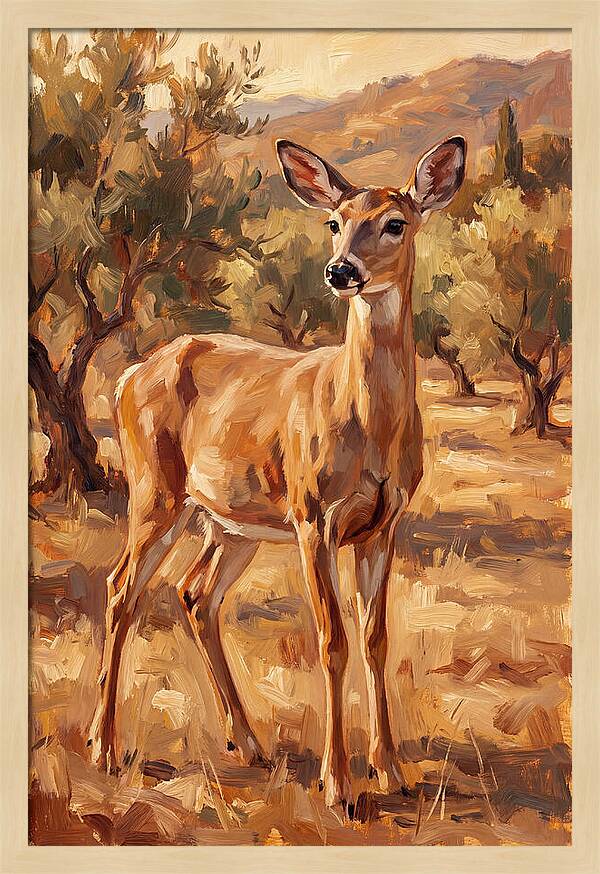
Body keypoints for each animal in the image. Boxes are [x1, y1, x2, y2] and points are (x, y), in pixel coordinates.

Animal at [88, 134, 466, 811]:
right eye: (335, 222)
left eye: (395, 222)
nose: (341, 271)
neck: (368, 423)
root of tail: (129, 375)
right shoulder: (314, 514)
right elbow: (331, 639)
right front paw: (338, 785)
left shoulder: (382, 524)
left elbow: (376, 639)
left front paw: (392, 772)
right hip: (154, 492)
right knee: (120, 587)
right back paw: (104, 749)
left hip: (230, 523)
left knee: (195, 594)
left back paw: (248, 742)